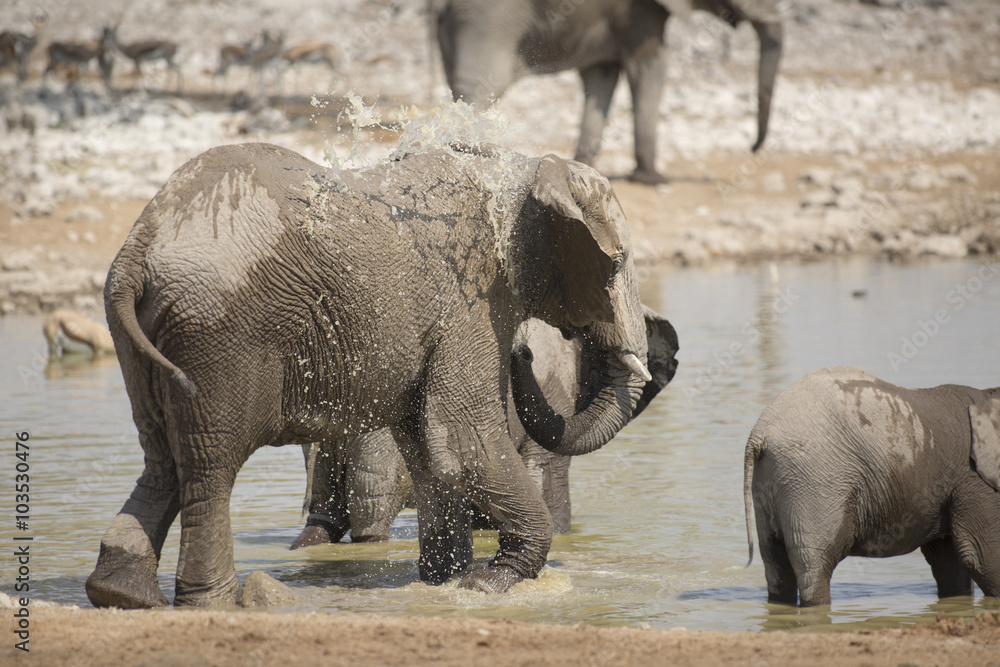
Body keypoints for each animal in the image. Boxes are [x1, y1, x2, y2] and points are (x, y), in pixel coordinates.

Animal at [435, 0, 784, 185]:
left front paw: (585, 167)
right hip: (486, 21)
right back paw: (467, 150)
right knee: (483, 86)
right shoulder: (639, 12)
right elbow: (650, 67)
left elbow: (602, 77)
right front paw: (652, 180)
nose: (752, 148)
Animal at [744, 366, 1000, 607]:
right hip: (815, 479)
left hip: (772, 482)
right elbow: (981, 556)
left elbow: (949, 560)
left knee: (776, 565)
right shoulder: (973, 479)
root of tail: (760, 433)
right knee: (814, 568)